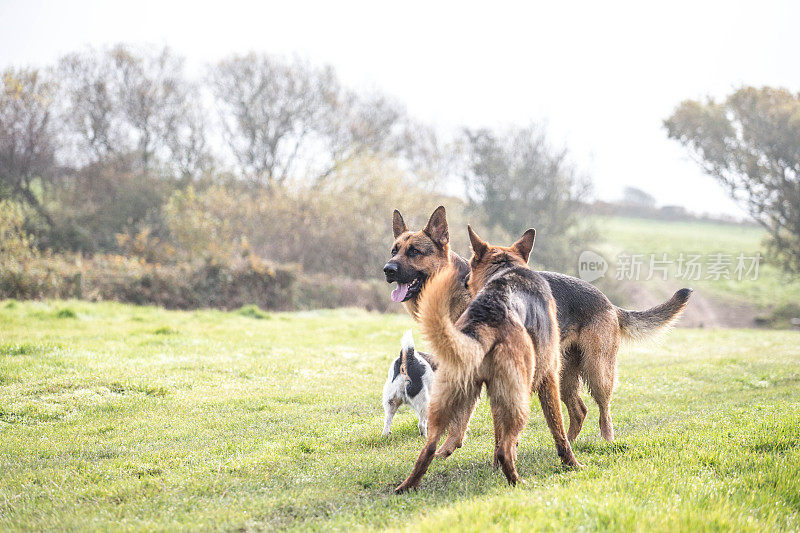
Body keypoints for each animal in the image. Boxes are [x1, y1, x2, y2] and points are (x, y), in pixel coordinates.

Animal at [384, 206, 692, 456]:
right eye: (394, 250)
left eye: (414, 252)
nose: (387, 269)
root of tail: (608, 302)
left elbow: (463, 415)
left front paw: (450, 445)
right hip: (563, 374)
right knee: (579, 411)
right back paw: (567, 444)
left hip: (597, 372)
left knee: (603, 411)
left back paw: (605, 441)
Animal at [394, 224, 576, 490]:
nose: (465, 282)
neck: (505, 268)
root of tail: (485, 321)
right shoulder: (548, 379)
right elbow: (559, 431)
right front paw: (571, 463)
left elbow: (497, 436)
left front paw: (494, 468)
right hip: (519, 403)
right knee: (505, 449)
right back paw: (518, 482)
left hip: (447, 402)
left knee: (428, 450)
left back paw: (406, 487)